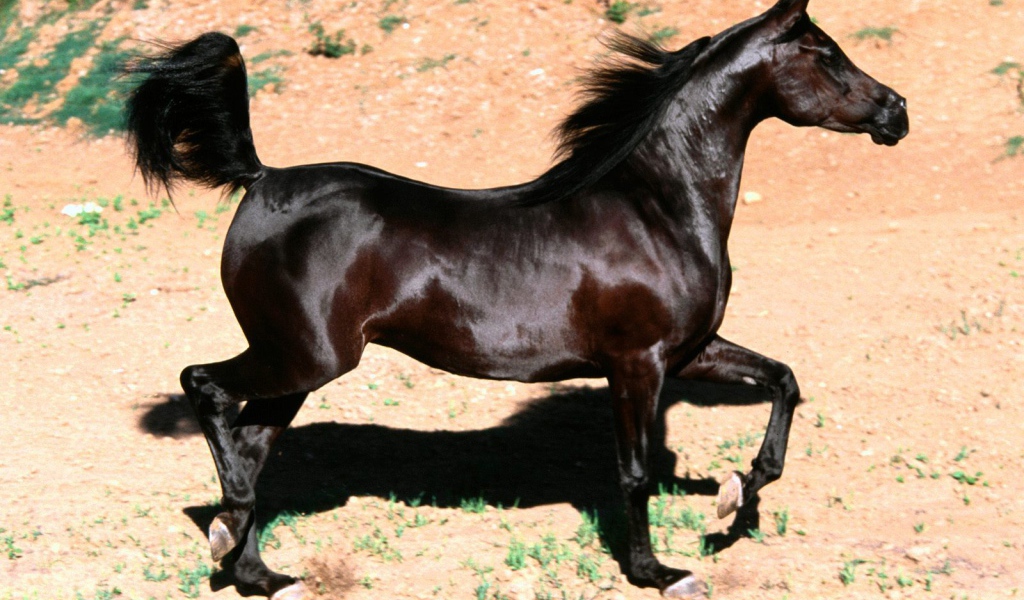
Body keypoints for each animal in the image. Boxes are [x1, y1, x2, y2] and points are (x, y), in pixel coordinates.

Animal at [124, 0, 907, 597]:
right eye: (828, 54)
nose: (896, 111)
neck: (657, 208)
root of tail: (261, 179)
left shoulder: (690, 352)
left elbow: (783, 381)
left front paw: (735, 497)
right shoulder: (638, 364)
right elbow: (634, 472)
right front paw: (658, 571)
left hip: (299, 367)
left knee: (251, 445)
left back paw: (258, 571)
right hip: (303, 356)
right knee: (205, 388)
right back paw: (231, 531)